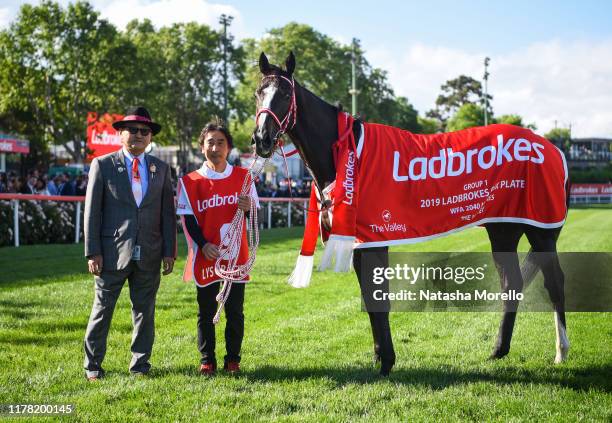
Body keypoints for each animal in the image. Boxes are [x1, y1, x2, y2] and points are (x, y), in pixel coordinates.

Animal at [250, 51, 568, 376]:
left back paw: (560, 351)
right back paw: (498, 350)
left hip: (541, 231)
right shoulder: (360, 243)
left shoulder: (374, 241)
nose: (261, 139)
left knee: (554, 282)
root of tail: (553, 150)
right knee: (511, 283)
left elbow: (378, 299)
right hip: (503, 230)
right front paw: (380, 358)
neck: (346, 155)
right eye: (258, 92)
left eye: (284, 93)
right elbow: (370, 298)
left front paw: (386, 362)